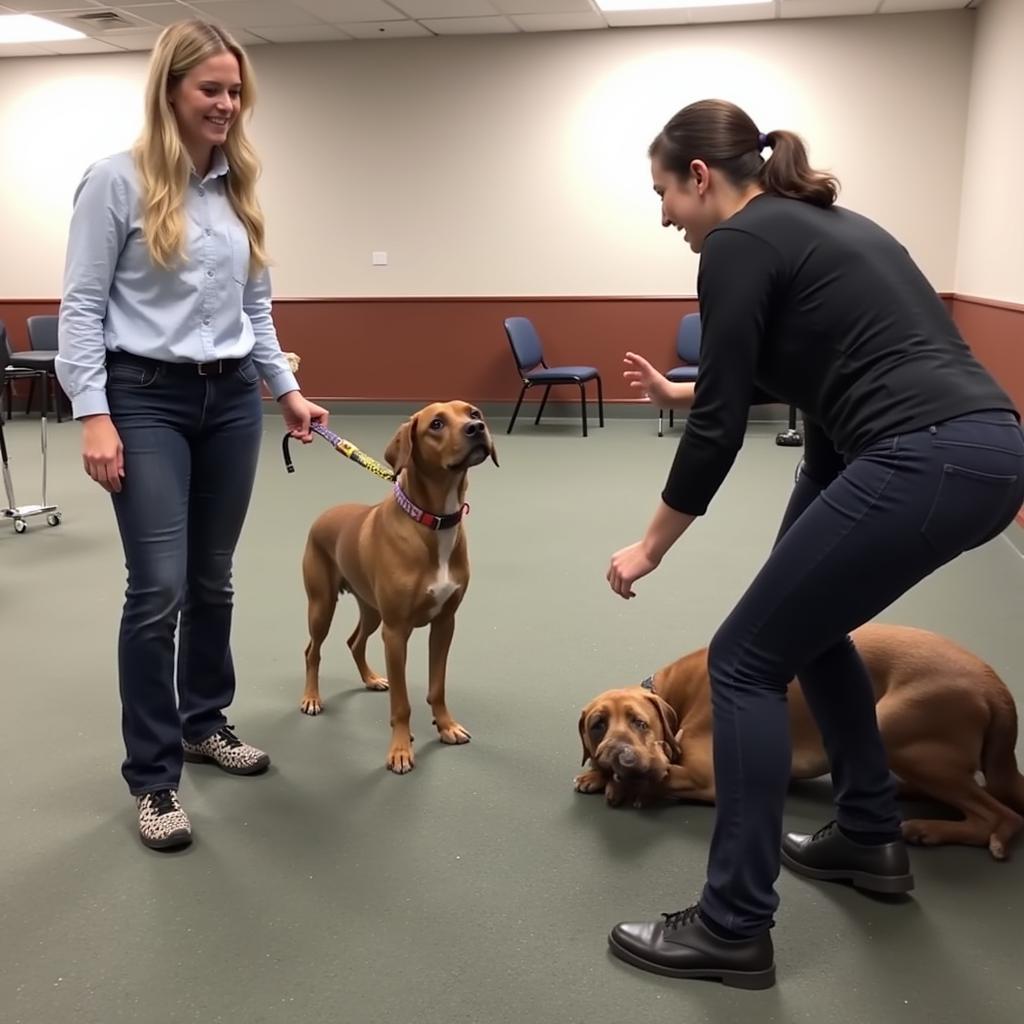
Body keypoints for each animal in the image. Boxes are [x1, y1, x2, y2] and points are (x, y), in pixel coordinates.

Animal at [299, 399, 497, 774]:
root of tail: (323, 515)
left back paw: (371, 678)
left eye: (474, 413)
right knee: (312, 651)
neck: (433, 522)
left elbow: (438, 686)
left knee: (354, 641)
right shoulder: (395, 633)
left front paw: (446, 726)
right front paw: (401, 750)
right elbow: (401, 702)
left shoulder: (444, 624)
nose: (476, 429)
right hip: (322, 605)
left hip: (371, 609)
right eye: (436, 424)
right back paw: (311, 698)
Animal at [577, 618, 1024, 860]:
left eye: (640, 723)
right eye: (597, 726)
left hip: (892, 725)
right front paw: (598, 774)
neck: (675, 691)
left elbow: (664, 773)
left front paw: (624, 785)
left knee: (1001, 816)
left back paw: (929, 829)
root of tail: (997, 688)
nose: (620, 757)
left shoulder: (708, 777)